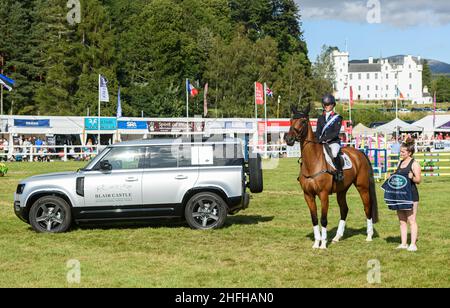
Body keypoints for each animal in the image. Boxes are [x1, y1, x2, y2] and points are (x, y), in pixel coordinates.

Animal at [286, 104, 378, 249]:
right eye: (291, 120)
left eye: (303, 121)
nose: (288, 139)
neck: (313, 162)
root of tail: (359, 153)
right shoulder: (308, 195)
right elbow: (314, 219)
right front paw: (316, 243)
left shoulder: (323, 194)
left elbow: (323, 219)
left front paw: (323, 244)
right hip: (342, 190)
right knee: (344, 209)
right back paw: (337, 237)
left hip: (362, 187)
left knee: (367, 207)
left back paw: (369, 236)